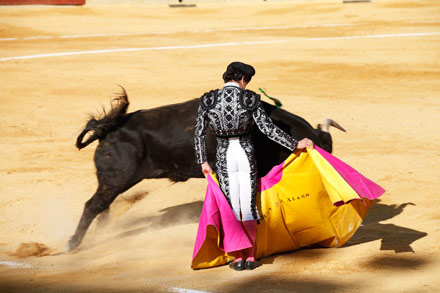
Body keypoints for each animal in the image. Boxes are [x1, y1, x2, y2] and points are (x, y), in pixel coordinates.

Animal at [68, 89, 344, 251]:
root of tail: (106, 130)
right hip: (116, 179)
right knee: (92, 205)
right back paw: (72, 244)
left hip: (110, 182)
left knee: (101, 207)